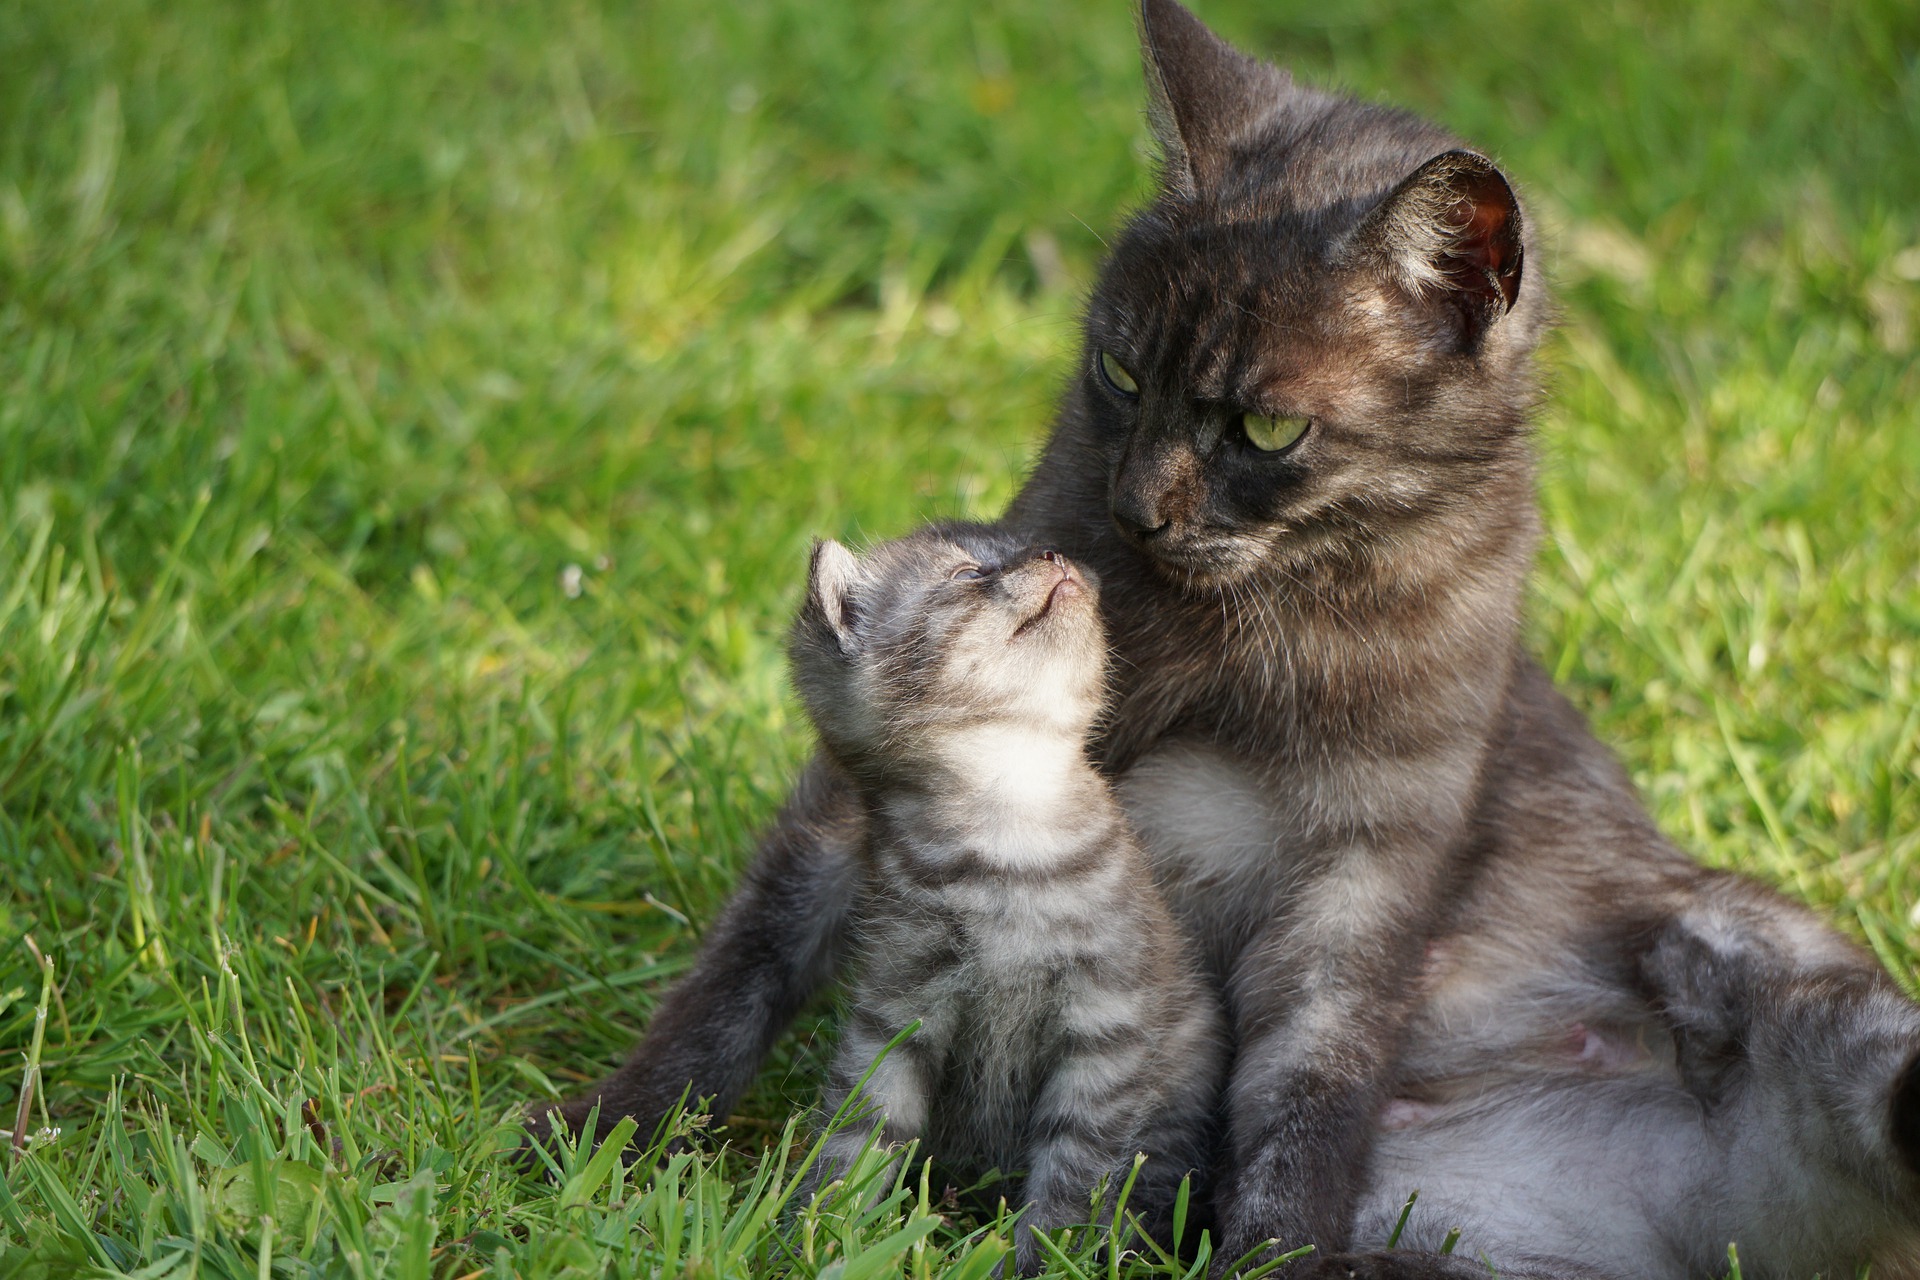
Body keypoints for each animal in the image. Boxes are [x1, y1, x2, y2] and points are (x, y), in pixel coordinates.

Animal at [787, 525, 1221, 1274]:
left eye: (1022, 549)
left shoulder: (1105, 1031)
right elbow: (860, 1129)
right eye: (967, 575)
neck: (1009, 830)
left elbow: (1073, 1172)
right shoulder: (895, 1011)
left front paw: (1044, 1259)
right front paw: (822, 1232)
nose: (1052, 555)